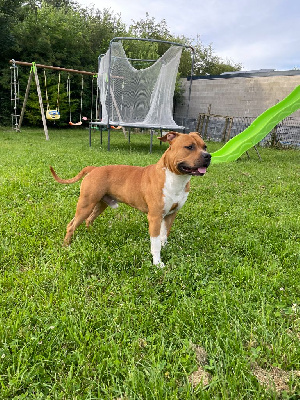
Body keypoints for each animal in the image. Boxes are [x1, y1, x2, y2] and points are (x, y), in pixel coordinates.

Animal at [49, 133, 211, 268]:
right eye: (189, 147)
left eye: (205, 146)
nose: (208, 156)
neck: (175, 178)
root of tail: (94, 169)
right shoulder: (155, 217)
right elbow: (155, 243)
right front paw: (157, 263)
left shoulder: (171, 214)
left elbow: (164, 235)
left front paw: (165, 247)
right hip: (86, 205)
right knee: (71, 225)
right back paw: (66, 246)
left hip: (100, 204)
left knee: (89, 219)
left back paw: (92, 234)